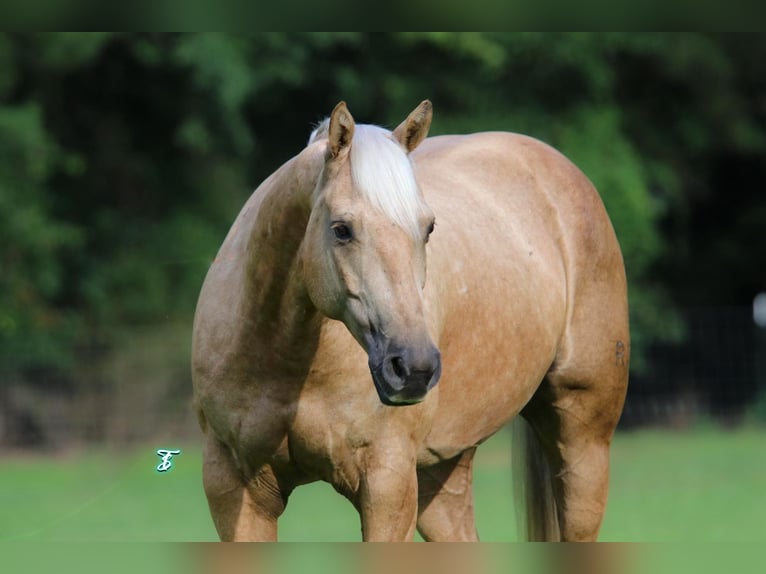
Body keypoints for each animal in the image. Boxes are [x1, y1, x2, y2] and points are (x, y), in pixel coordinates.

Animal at [190, 101, 632, 544]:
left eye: (429, 227)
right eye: (341, 229)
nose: (414, 367)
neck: (289, 358)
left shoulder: (387, 485)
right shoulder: (237, 492)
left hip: (583, 444)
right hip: (443, 472)